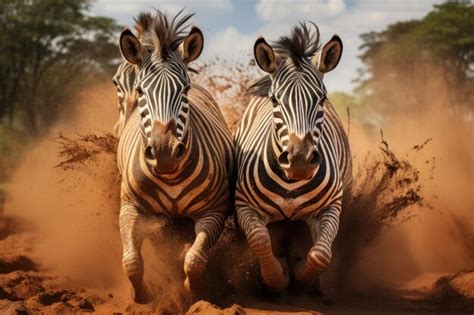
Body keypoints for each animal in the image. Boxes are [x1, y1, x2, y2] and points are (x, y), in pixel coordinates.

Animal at [115, 11, 233, 304]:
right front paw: (140, 295)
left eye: (185, 89)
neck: (171, 176)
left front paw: (194, 294)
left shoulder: (214, 210)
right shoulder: (130, 207)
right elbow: (131, 261)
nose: (164, 152)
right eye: (142, 91)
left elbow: (194, 259)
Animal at [235, 22, 350, 294]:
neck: (291, 182)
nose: (299, 161)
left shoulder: (331, 207)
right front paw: (278, 279)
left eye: (322, 98)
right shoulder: (244, 205)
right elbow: (260, 240)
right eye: (275, 99)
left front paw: (300, 275)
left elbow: (320, 255)